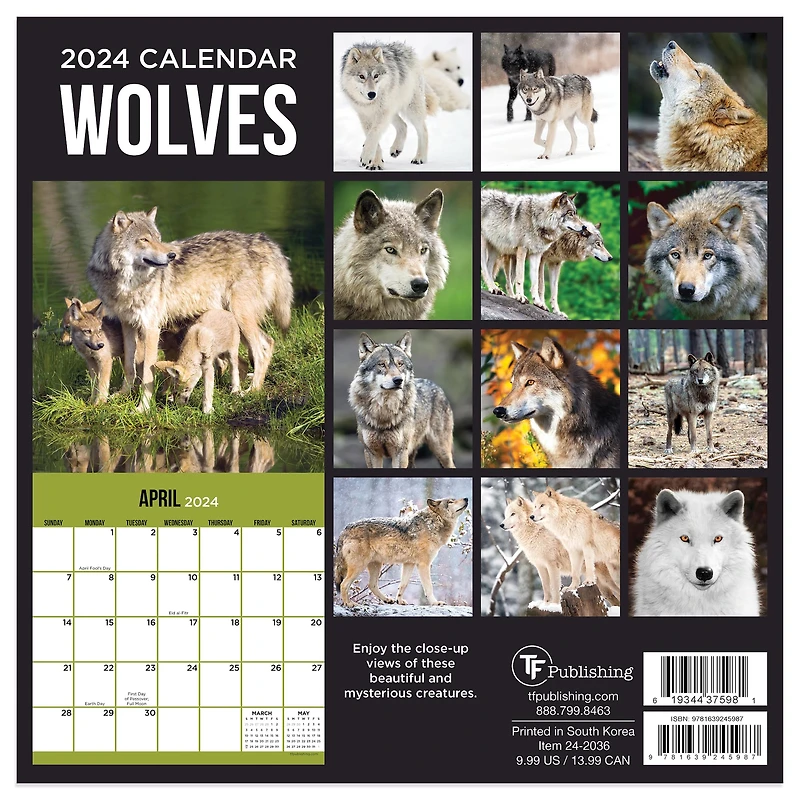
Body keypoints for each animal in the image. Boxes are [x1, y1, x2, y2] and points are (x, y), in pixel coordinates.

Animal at [87, 207, 292, 411]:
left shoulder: (151, 328)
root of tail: (263, 241)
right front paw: (122, 394)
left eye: (158, 238)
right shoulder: (127, 324)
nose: (171, 256)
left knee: (261, 349)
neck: (127, 284)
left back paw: (253, 389)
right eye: (144, 239)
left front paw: (143, 407)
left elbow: (146, 374)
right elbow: (130, 366)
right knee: (268, 342)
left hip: (241, 317)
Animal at [334, 497, 469, 607]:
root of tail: (344, 530)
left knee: (371, 585)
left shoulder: (409, 564)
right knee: (344, 585)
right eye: (450, 501)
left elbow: (403, 585)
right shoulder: (423, 565)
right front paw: (435, 603)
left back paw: (387, 599)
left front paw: (399, 601)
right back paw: (349, 603)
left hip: (376, 565)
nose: (466, 498)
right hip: (359, 566)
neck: (433, 524)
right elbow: (428, 587)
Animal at [348, 332, 455, 468]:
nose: (398, 380)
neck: (384, 413)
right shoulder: (371, 453)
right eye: (382, 364)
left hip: (441, 453)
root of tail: (436, 385)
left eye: (400, 364)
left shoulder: (399, 453)